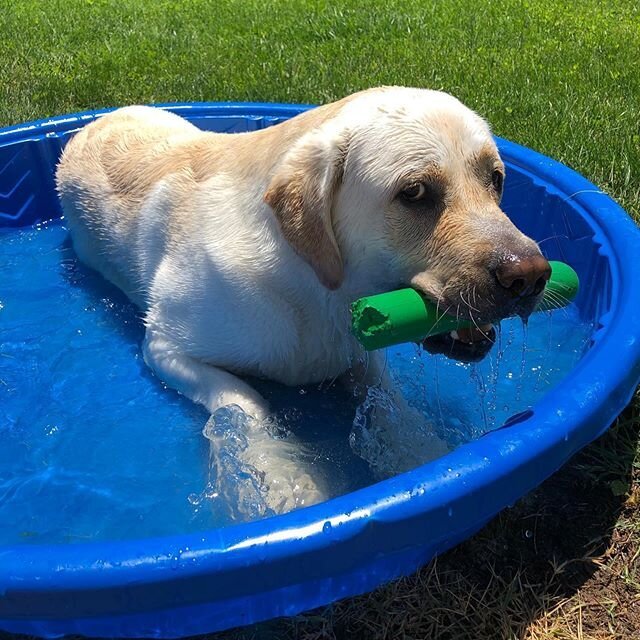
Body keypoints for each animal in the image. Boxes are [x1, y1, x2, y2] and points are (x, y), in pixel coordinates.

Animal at [56, 87, 552, 512]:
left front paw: (419, 451)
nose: (531, 275)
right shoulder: (164, 346)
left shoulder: (360, 351)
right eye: (414, 192)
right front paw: (288, 483)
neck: (318, 296)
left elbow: (385, 398)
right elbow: (244, 403)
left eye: (495, 179)